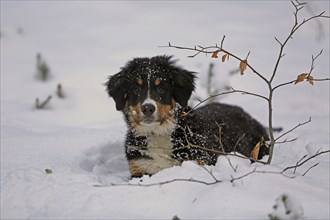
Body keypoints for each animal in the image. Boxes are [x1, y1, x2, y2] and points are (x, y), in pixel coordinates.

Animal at [105, 55, 268, 179]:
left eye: (162, 88)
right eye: (135, 89)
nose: (148, 108)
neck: (159, 133)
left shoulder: (201, 160)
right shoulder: (140, 167)